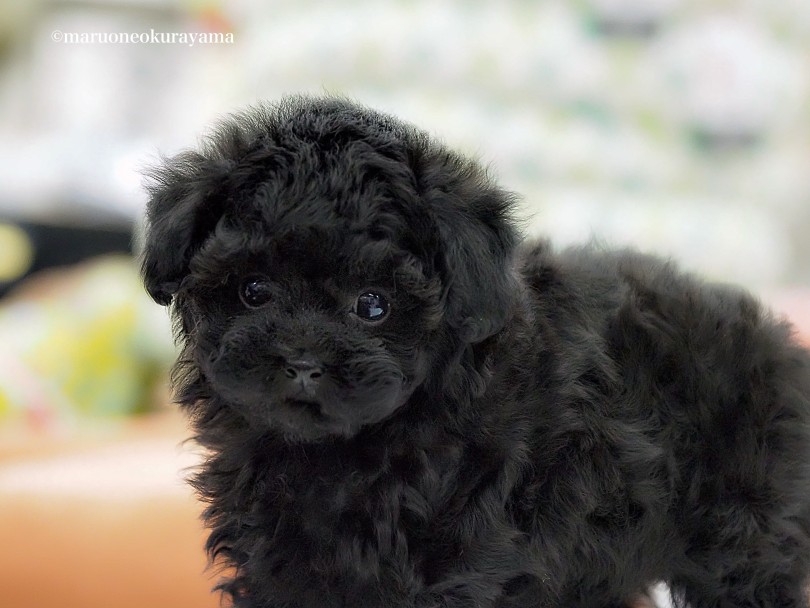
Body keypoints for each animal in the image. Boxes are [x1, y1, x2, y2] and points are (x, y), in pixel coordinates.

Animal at [142, 97, 808, 604]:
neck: (342, 450)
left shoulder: (462, 551)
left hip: (744, 535)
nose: (303, 362)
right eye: (253, 291)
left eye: (373, 305)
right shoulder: (279, 558)